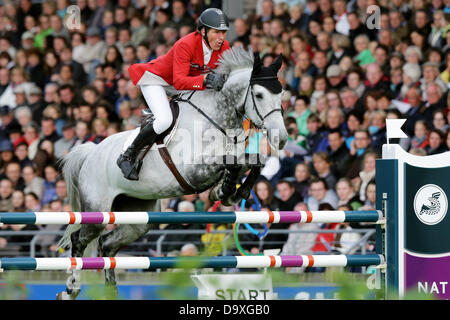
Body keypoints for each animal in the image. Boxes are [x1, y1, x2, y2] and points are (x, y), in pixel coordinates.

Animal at [57, 46, 288, 298]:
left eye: (281, 94)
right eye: (259, 95)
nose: (281, 138)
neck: (218, 119)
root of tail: (91, 152)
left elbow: (254, 162)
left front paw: (231, 193)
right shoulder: (195, 170)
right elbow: (233, 164)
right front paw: (225, 191)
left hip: (139, 216)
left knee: (108, 244)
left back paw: (110, 291)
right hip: (97, 211)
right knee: (79, 239)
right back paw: (71, 289)